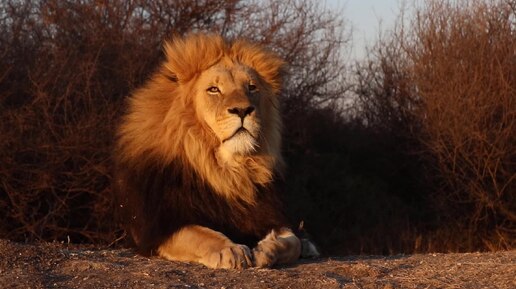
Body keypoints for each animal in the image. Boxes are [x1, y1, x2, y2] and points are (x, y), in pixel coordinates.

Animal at [113, 33, 318, 268]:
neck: (227, 170)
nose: (242, 110)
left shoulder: (269, 216)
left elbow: (292, 241)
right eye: (214, 89)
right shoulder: (161, 227)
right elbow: (199, 233)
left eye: (251, 87)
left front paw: (266, 249)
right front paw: (230, 250)